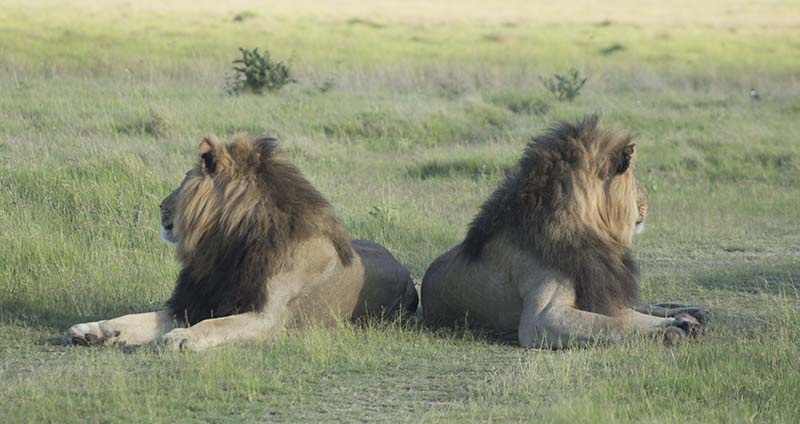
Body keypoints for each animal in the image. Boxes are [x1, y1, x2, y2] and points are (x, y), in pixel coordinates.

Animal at [65, 136, 418, 352]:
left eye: (184, 181)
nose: (160, 206)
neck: (226, 249)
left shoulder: (267, 318)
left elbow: (215, 324)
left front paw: (182, 337)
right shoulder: (191, 303)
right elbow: (134, 318)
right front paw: (92, 330)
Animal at [418, 116, 708, 348]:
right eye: (634, 177)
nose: (647, 200)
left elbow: (624, 316)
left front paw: (682, 320)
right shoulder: (542, 320)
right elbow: (613, 324)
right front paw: (675, 329)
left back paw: (693, 310)